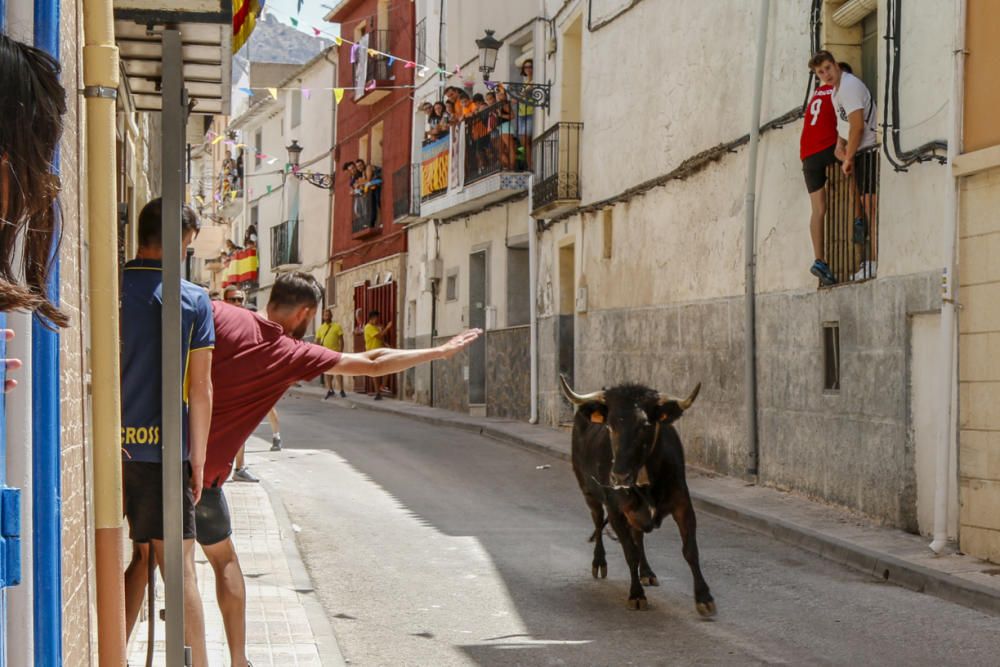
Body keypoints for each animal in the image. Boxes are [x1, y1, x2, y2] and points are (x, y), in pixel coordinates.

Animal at [560, 376, 716, 616]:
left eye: (645, 425)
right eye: (610, 425)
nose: (619, 476)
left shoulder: (683, 504)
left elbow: (690, 551)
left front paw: (704, 598)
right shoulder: (616, 511)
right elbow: (629, 553)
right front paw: (636, 595)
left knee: (638, 536)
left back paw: (647, 572)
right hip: (589, 493)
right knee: (598, 523)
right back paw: (599, 562)